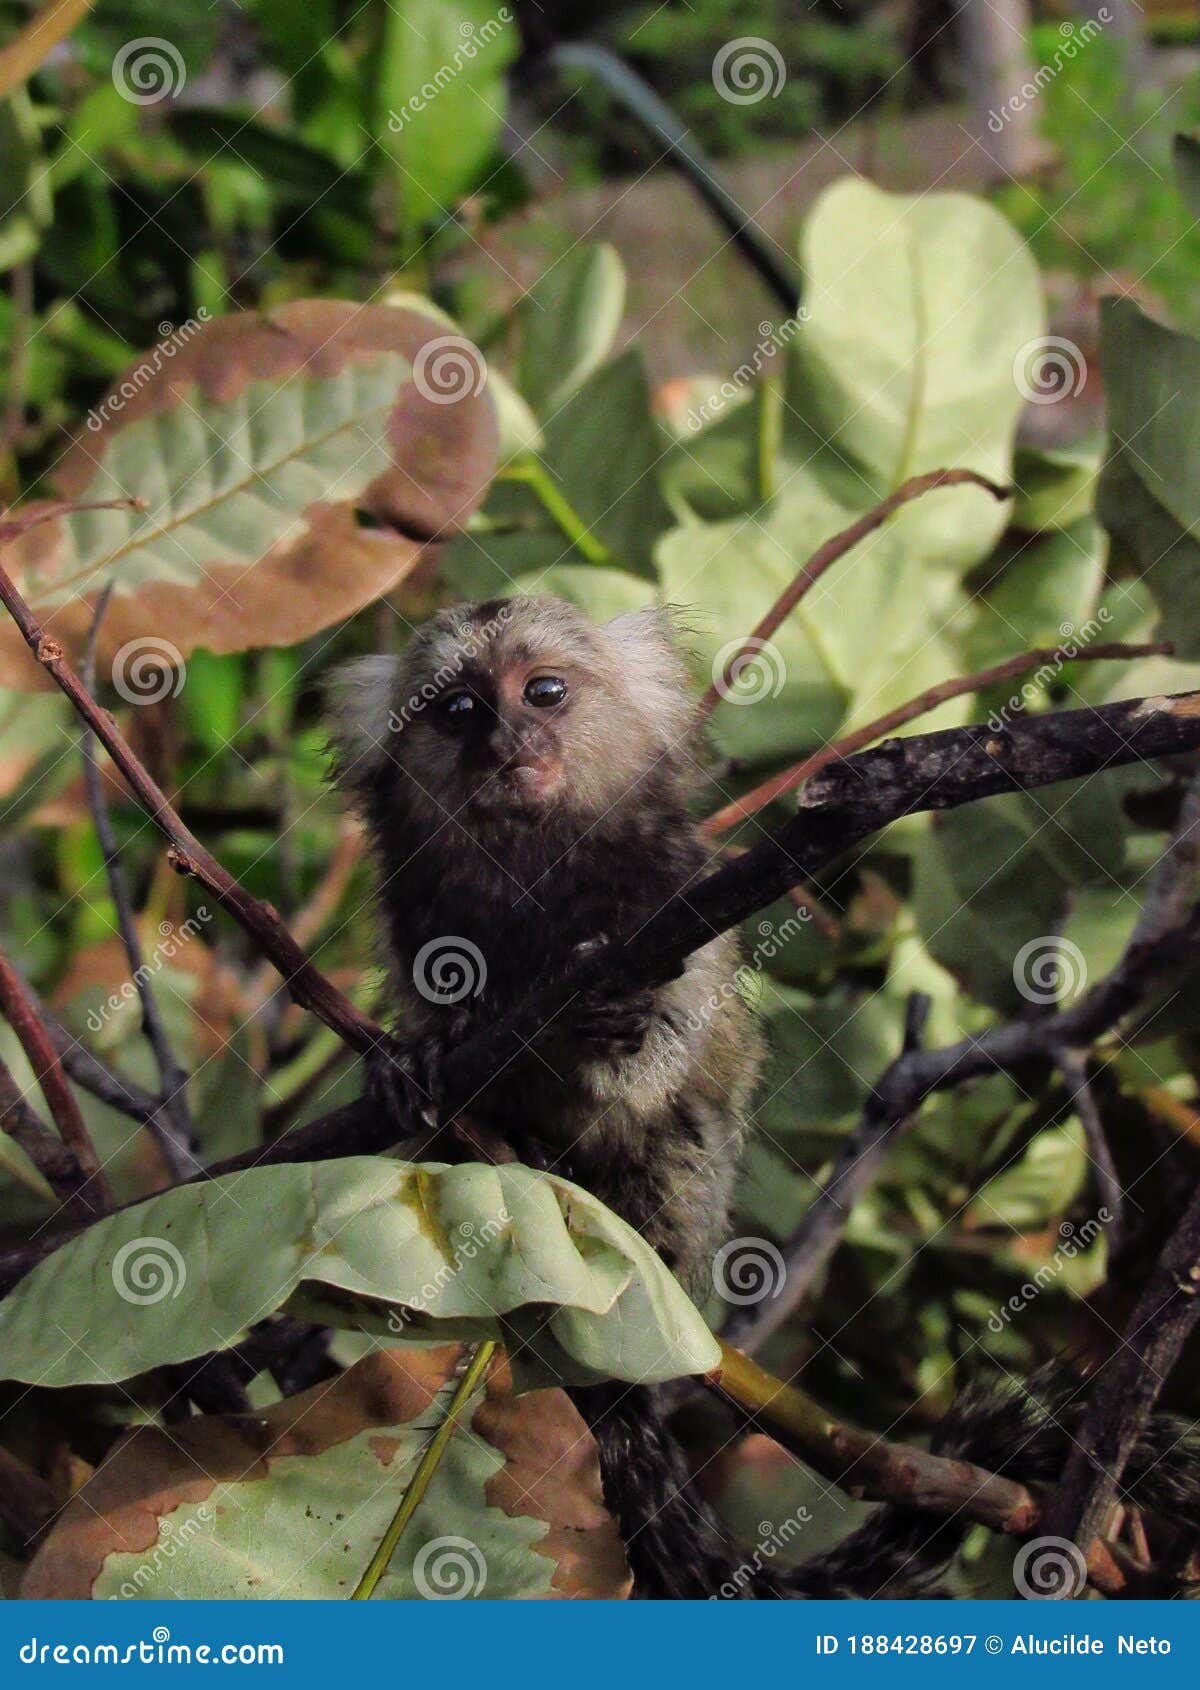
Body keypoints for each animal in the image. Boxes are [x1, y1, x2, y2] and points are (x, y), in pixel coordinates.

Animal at [329, 601, 1200, 1602]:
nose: (509, 743)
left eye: (543, 691)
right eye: (461, 710)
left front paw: (607, 1031)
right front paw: (419, 1051)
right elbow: (428, 1012)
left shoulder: (667, 901)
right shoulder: (417, 908)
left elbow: (671, 1051)